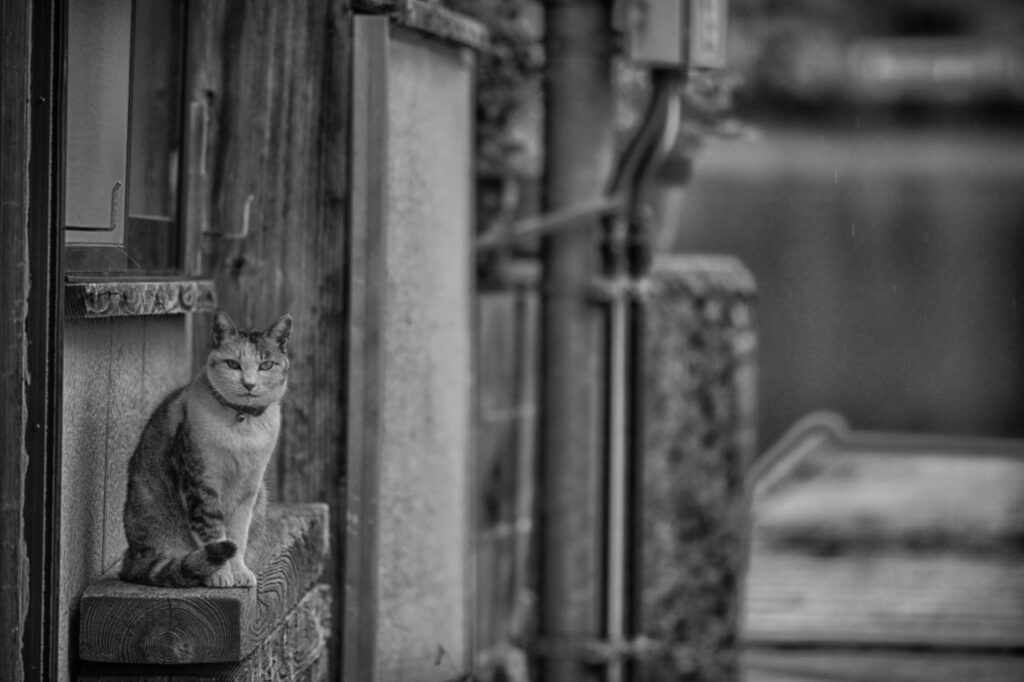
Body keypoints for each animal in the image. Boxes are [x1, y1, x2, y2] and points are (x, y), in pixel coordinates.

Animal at [118, 311, 292, 585]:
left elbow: (238, 535)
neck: (242, 423)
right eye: (233, 364)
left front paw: (239, 572)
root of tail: (131, 557)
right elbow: (213, 531)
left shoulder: (248, 487)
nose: (249, 384)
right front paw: (220, 576)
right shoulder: (201, 479)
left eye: (266, 365)